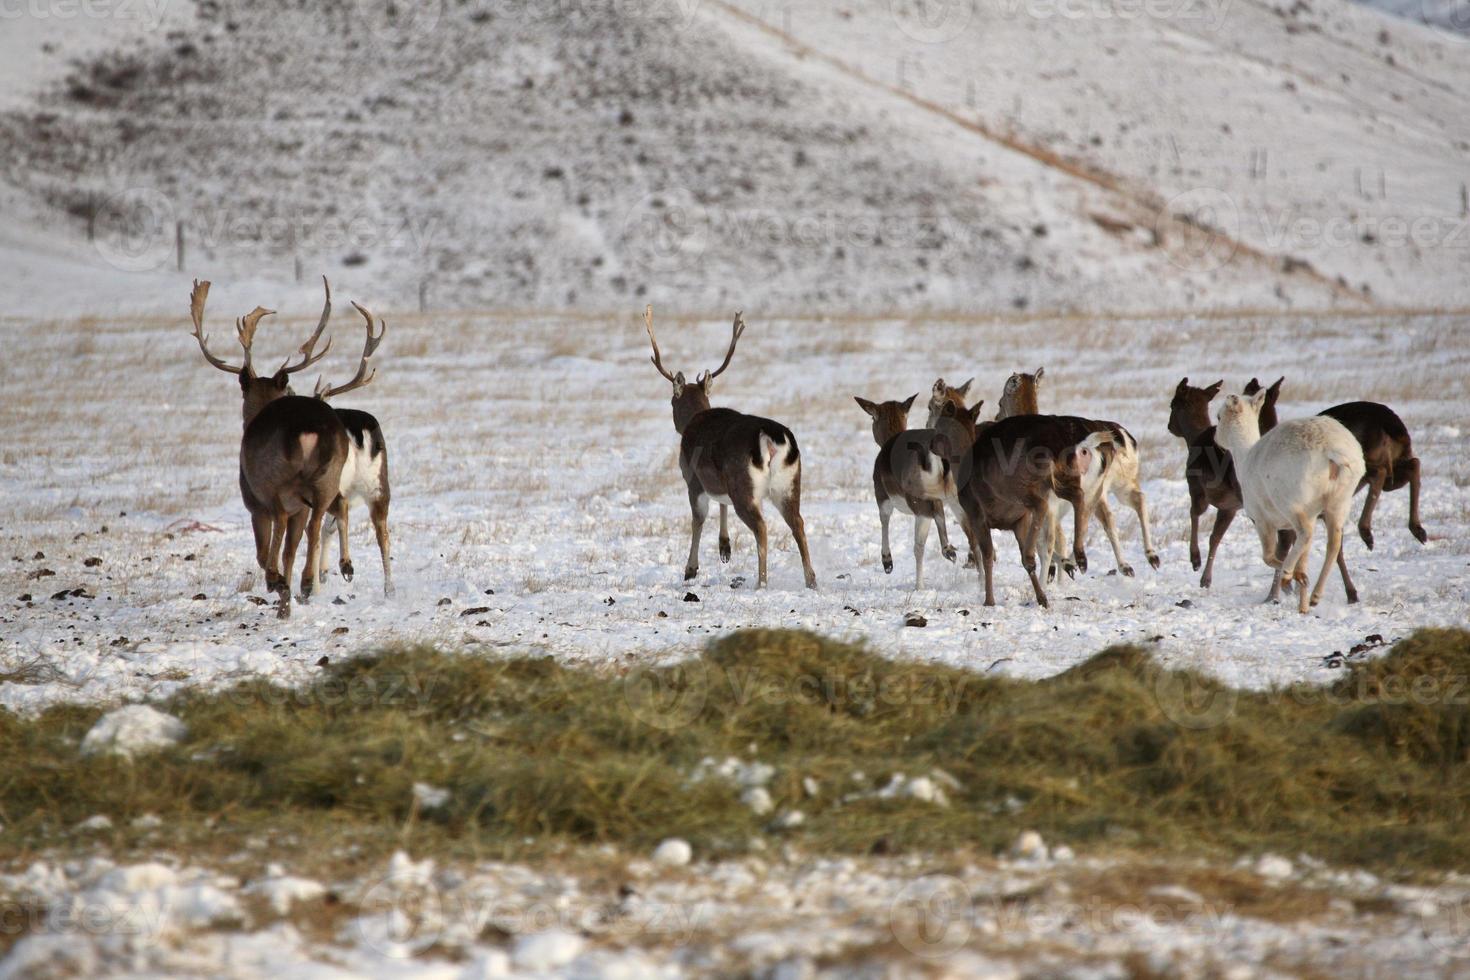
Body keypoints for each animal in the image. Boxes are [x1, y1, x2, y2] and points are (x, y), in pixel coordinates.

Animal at [186, 276, 346, 617]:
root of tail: (308, 428)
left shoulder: (252, 502)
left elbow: (264, 551)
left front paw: (278, 587)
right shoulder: (300, 506)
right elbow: (290, 550)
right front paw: (286, 605)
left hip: (272, 480)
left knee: (281, 521)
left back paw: (279, 581)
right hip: (327, 479)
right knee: (315, 522)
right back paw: (305, 582)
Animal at [311, 299, 393, 593]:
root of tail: (358, 432)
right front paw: (321, 574)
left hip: (334, 480)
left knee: (342, 512)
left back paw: (346, 565)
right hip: (379, 484)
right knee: (383, 532)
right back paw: (389, 589)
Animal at [646, 307, 823, 590]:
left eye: (671, 401)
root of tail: (771, 439)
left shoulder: (693, 479)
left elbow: (698, 519)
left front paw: (690, 570)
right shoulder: (720, 481)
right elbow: (721, 504)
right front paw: (724, 548)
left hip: (744, 484)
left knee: (761, 527)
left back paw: (761, 583)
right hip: (789, 483)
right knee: (798, 522)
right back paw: (810, 580)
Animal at [1217, 390, 1364, 614]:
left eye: (1218, 416)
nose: (1216, 439)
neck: (1243, 460)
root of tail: (1332, 451)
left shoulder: (1262, 520)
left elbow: (1268, 556)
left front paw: (1295, 579)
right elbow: (1303, 558)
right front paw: (1302, 606)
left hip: (1294, 504)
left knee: (1306, 533)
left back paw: (1289, 575)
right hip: (1339, 501)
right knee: (1333, 542)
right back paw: (1315, 596)